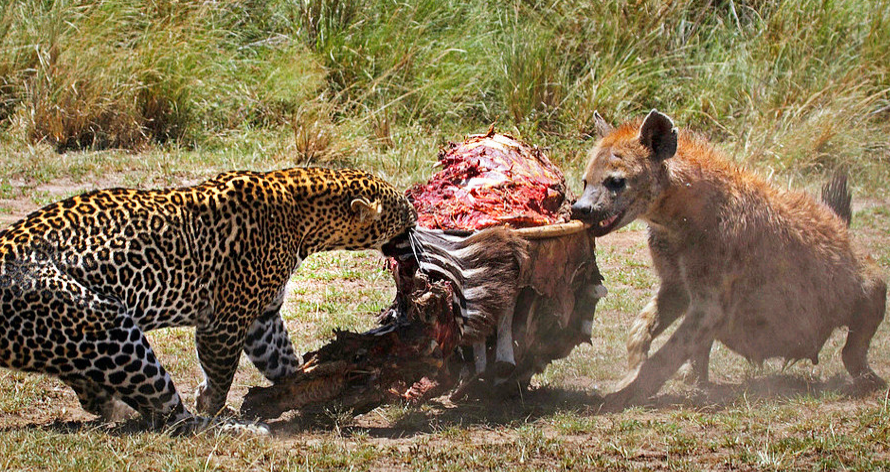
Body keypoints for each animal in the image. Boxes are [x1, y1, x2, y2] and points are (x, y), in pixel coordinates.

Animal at [0, 168, 416, 434]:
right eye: (402, 211)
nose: (415, 212)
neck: (304, 218)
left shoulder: (263, 318)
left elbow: (283, 362)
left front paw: (307, 388)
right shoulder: (225, 321)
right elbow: (221, 372)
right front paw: (211, 403)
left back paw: (107, 402)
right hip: (109, 326)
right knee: (172, 419)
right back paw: (231, 428)